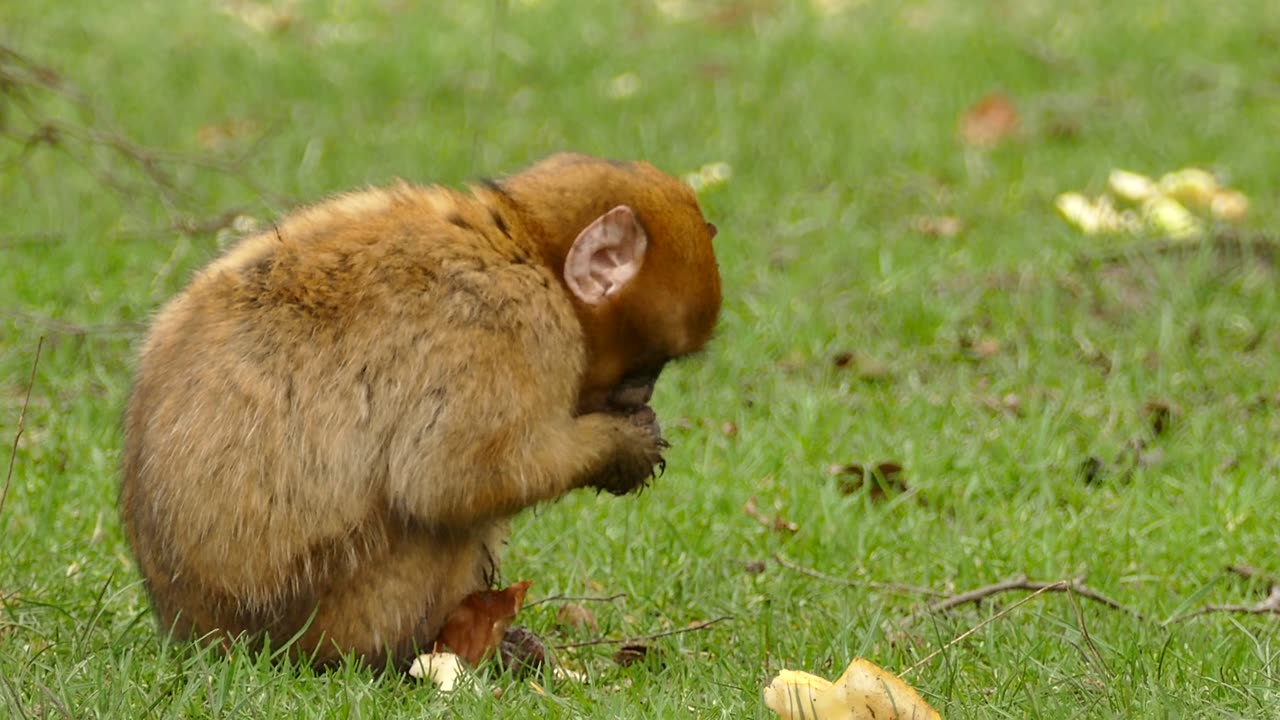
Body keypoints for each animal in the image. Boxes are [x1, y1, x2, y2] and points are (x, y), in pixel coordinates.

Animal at [120, 149, 727, 666]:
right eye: (647, 368)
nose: (643, 396)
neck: (523, 246)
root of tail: (196, 631)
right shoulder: (511, 324)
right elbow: (450, 479)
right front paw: (621, 448)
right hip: (334, 616)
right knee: (439, 521)